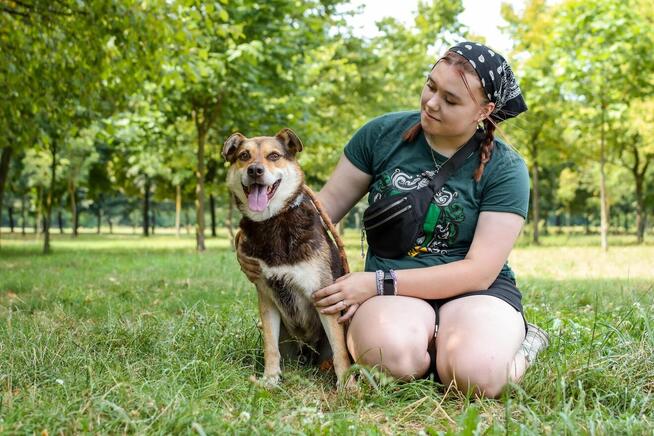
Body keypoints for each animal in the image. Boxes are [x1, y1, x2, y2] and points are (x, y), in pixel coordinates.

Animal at [222, 127, 354, 386]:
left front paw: (347, 385)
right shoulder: (267, 299)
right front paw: (270, 380)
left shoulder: (325, 297)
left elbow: (341, 351)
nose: (255, 170)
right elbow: (271, 347)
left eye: (274, 156)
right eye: (244, 156)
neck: (272, 221)